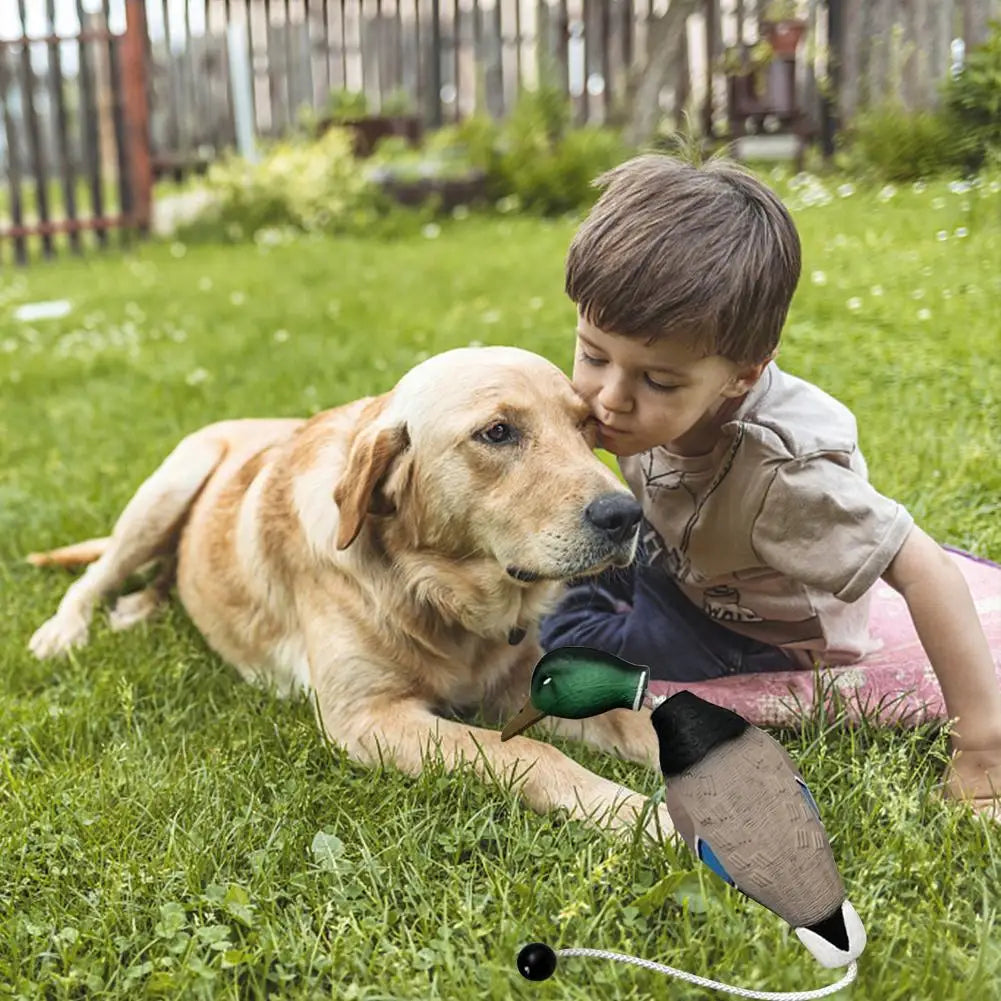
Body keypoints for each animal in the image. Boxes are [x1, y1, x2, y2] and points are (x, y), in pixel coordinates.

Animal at [29, 344, 672, 836]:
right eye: (497, 432)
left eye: (586, 426)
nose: (626, 515)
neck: (437, 592)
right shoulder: (368, 718)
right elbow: (522, 750)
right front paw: (644, 817)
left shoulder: (526, 684)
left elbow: (639, 720)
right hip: (168, 488)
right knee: (95, 574)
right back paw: (65, 630)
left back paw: (140, 606)